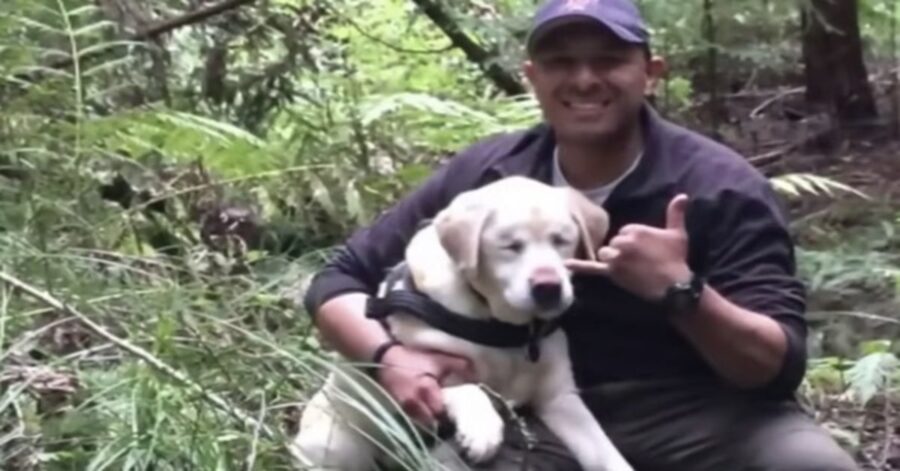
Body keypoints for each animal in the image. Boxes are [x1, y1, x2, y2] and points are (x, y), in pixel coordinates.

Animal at [292, 177, 628, 471]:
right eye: (510, 246)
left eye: (561, 241)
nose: (548, 288)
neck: (505, 328)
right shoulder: (418, 371)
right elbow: (464, 387)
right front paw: (483, 429)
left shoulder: (559, 398)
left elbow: (605, 451)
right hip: (336, 444)